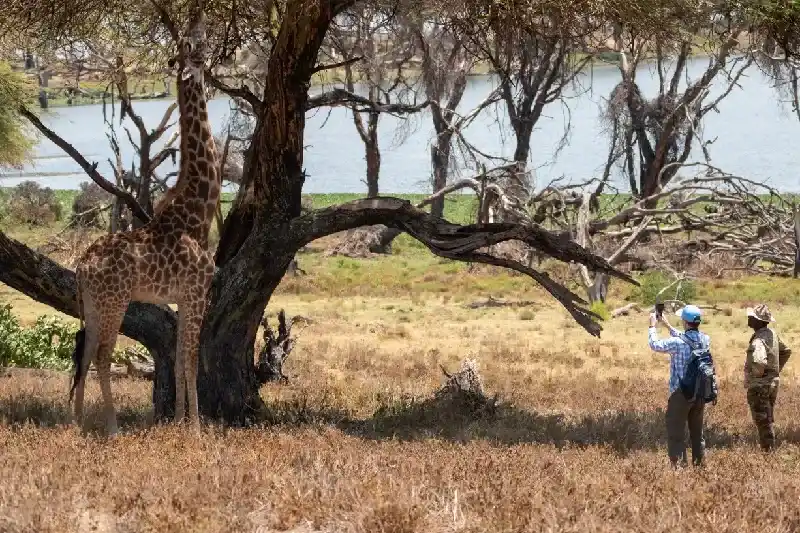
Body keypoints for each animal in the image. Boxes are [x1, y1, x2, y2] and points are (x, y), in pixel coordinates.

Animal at [70, 2, 220, 436]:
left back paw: (75, 423)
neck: (198, 212)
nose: (200, 15)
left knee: (84, 351)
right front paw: (195, 428)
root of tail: (81, 266)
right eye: (195, 44)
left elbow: (180, 360)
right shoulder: (197, 291)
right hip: (115, 300)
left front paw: (180, 422)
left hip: (91, 303)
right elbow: (190, 361)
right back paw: (112, 427)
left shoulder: (183, 297)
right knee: (102, 355)